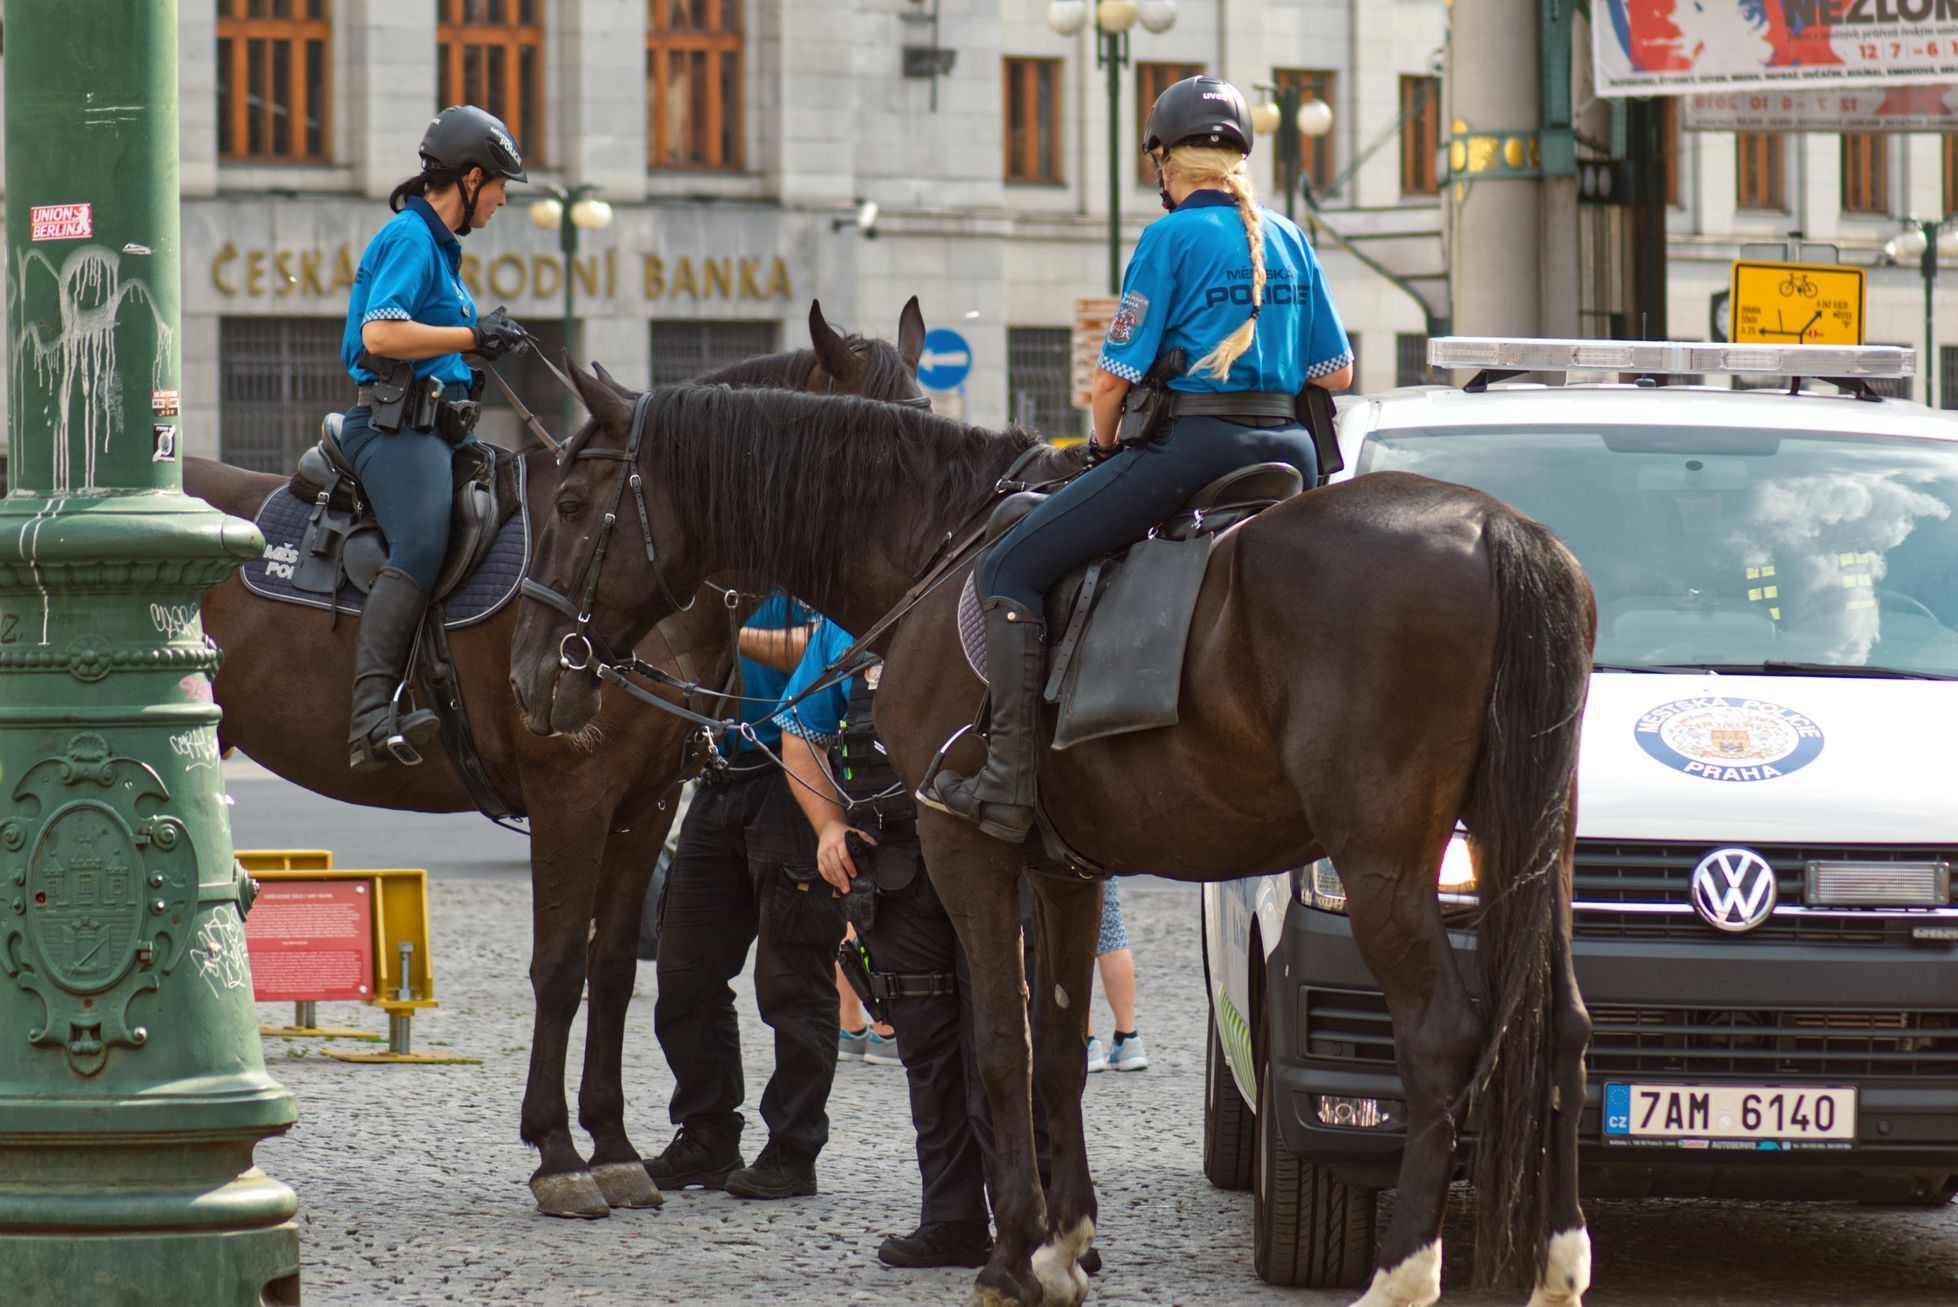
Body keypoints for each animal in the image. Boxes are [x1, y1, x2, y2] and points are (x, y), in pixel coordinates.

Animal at [194, 301, 928, 1220]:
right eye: (877, 455)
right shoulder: (568, 799)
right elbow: (557, 966)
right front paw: (555, 1153)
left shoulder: (645, 807)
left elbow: (610, 969)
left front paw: (612, 1146)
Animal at [501, 379, 1589, 1307]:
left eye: (572, 504)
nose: (530, 673)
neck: (935, 548)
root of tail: (1496, 527)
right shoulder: (1066, 870)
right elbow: (1059, 1047)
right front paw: (1065, 1243)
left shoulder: (963, 849)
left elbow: (999, 1043)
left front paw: (1010, 1254)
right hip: (1526, 849)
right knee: (1562, 1026)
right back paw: (1555, 1259)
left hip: (1380, 864)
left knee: (1439, 1037)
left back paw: (1404, 1270)